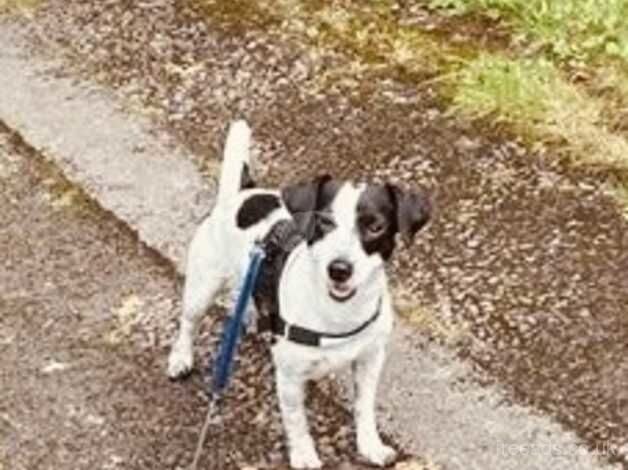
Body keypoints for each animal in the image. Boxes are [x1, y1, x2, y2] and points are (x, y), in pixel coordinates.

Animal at [168, 120, 432, 466]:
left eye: (376, 227)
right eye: (324, 222)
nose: (339, 269)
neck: (338, 314)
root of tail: (242, 192)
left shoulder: (370, 360)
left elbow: (364, 408)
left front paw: (370, 445)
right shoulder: (291, 378)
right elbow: (297, 422)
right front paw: (305, 455)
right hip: (202, 288)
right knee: (188, 324)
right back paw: (181, 357)